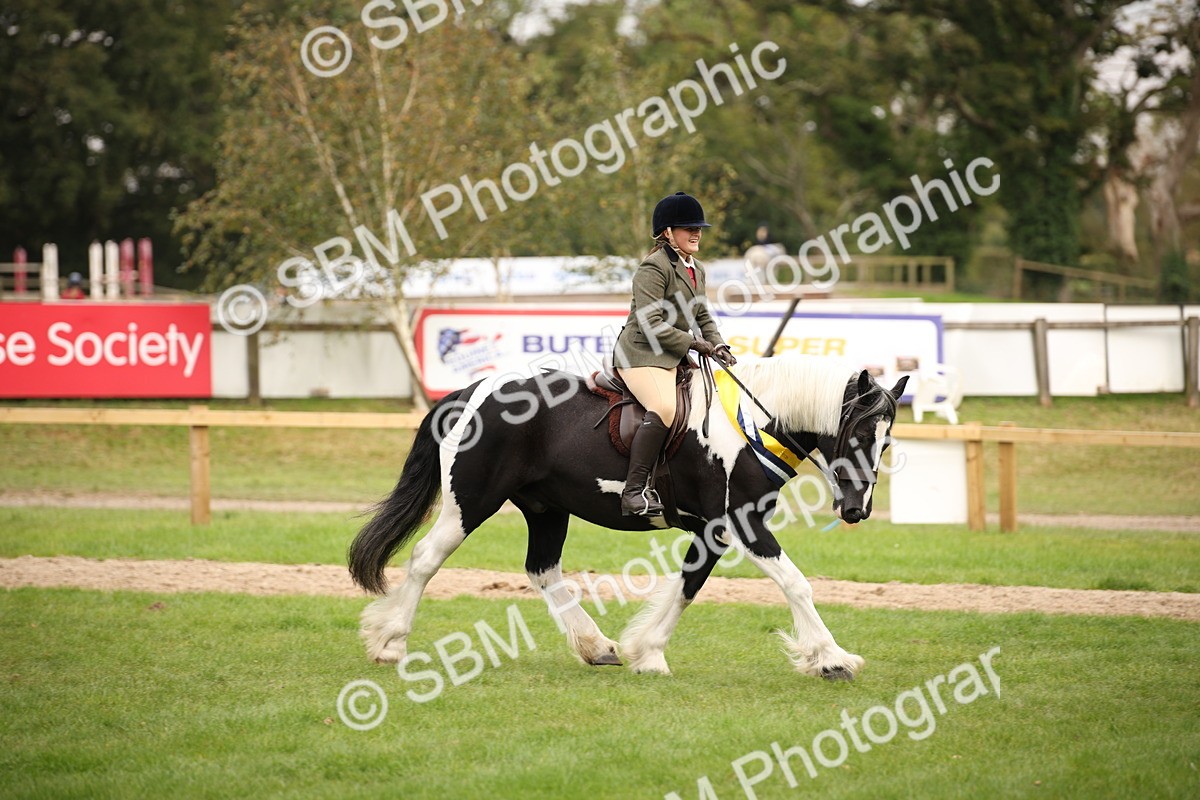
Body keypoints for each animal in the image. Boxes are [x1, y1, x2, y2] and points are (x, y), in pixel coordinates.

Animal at [348, 354, 908, 681]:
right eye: (860, 434)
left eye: (886, 442)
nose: (857, 510)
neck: (751, 421)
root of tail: (474, 391)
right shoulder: (744, 523)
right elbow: (795, 584)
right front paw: (831, 658)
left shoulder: (714, 530)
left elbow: (687, 586)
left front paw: (648, 651)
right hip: (472, 501)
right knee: (426, 558)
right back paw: (390, 644)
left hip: (547, 508)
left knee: (542, 570)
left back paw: (597, 646)